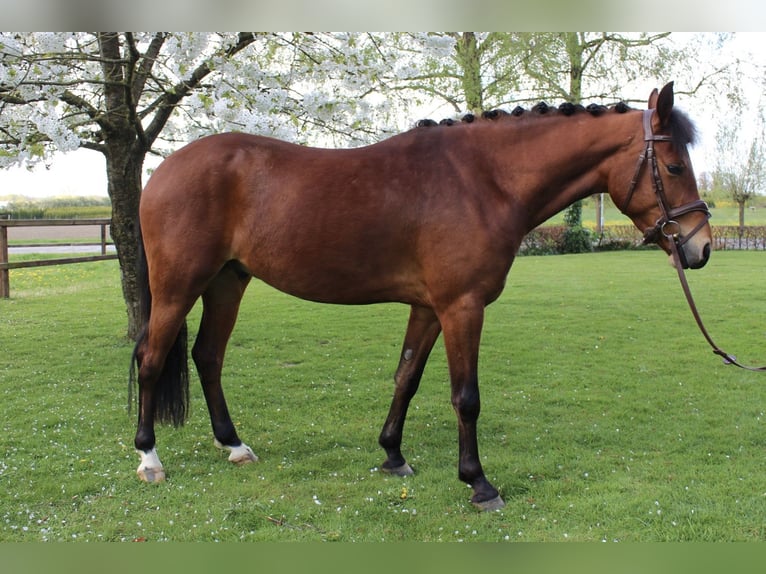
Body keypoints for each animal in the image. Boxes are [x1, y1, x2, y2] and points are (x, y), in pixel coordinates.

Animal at [130, 82, 712, 511]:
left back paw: (234, 446)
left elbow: (406, 377)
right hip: (179, 286)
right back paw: (149, 460)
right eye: (675, 167)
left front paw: (393, 455)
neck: (484, 180)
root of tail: (163, 171)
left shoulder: (429, 307)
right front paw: (479, 483)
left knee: (207, 357)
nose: (700, 247)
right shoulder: (462, 307)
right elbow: (466, 397)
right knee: (152, 359)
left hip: (228, 282)